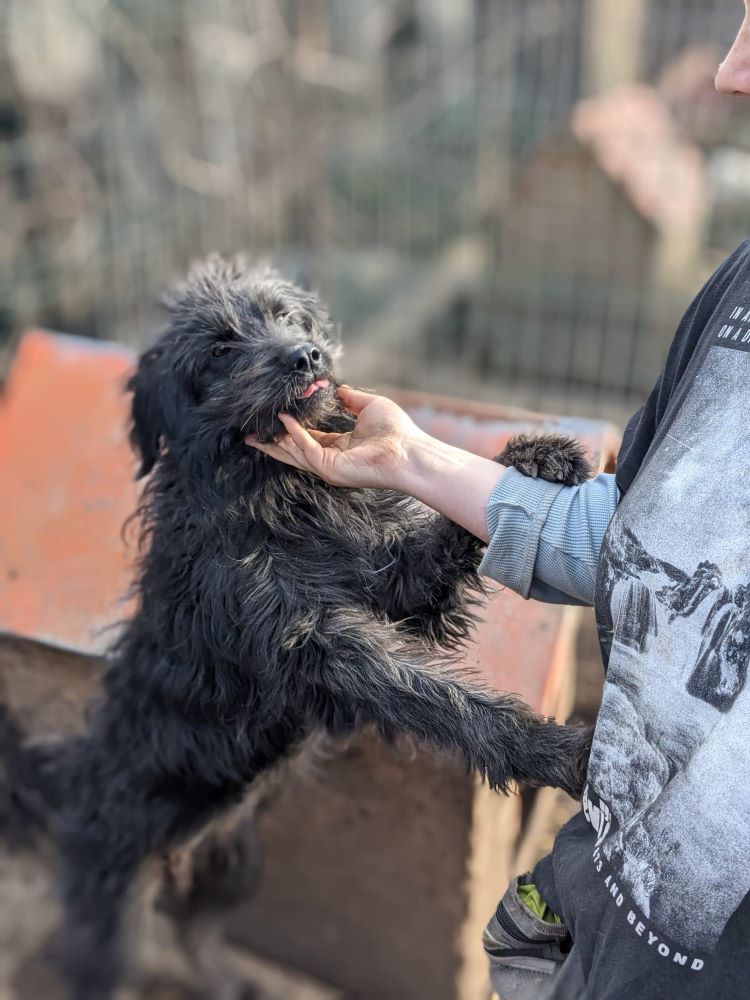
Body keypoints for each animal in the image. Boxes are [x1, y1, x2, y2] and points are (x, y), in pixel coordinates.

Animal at [50, 254, 596, 996]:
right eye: (219, 349)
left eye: (287, 317)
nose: (304, 354)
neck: (271, 486)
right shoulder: (318, 643)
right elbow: (443, 701)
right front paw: (558, 752)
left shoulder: (399, 587)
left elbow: (441, 544)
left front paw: (534, 458)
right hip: (114, 910)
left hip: (231, 866)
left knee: (195, 934)